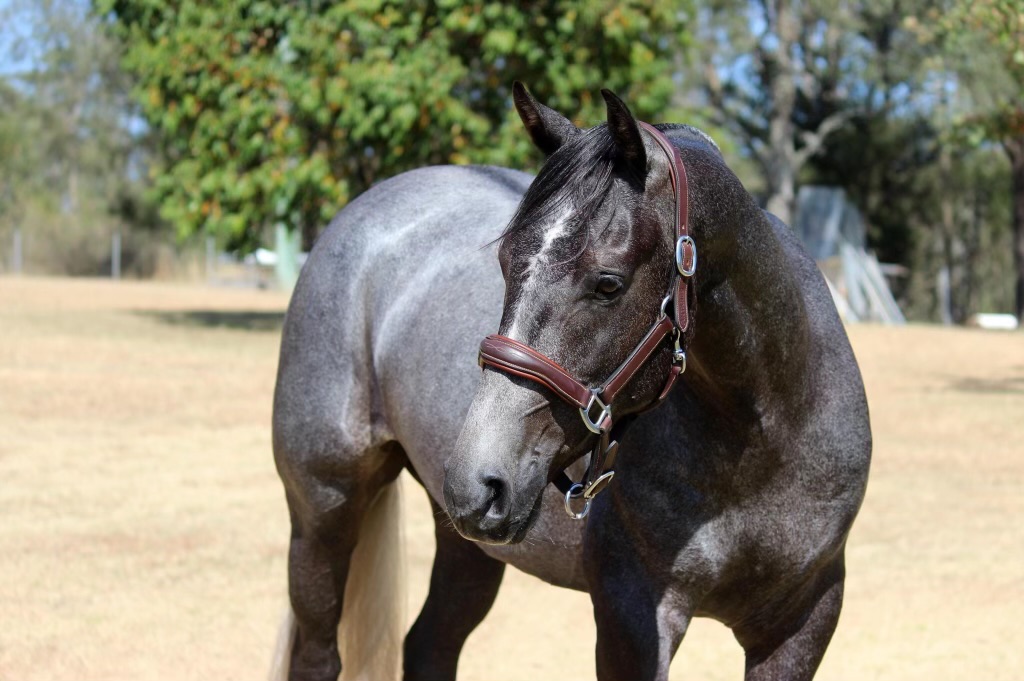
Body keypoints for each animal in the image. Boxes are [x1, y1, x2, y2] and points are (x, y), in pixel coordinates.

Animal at [270, 83, 871, 681]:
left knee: (429, 644)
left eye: (608, 284)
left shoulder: (803, 620)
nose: (478, 481)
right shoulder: (633, 617)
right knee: (319, 654)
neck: (760, 437)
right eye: (505, 263)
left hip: (467, 543)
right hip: (324, 510)